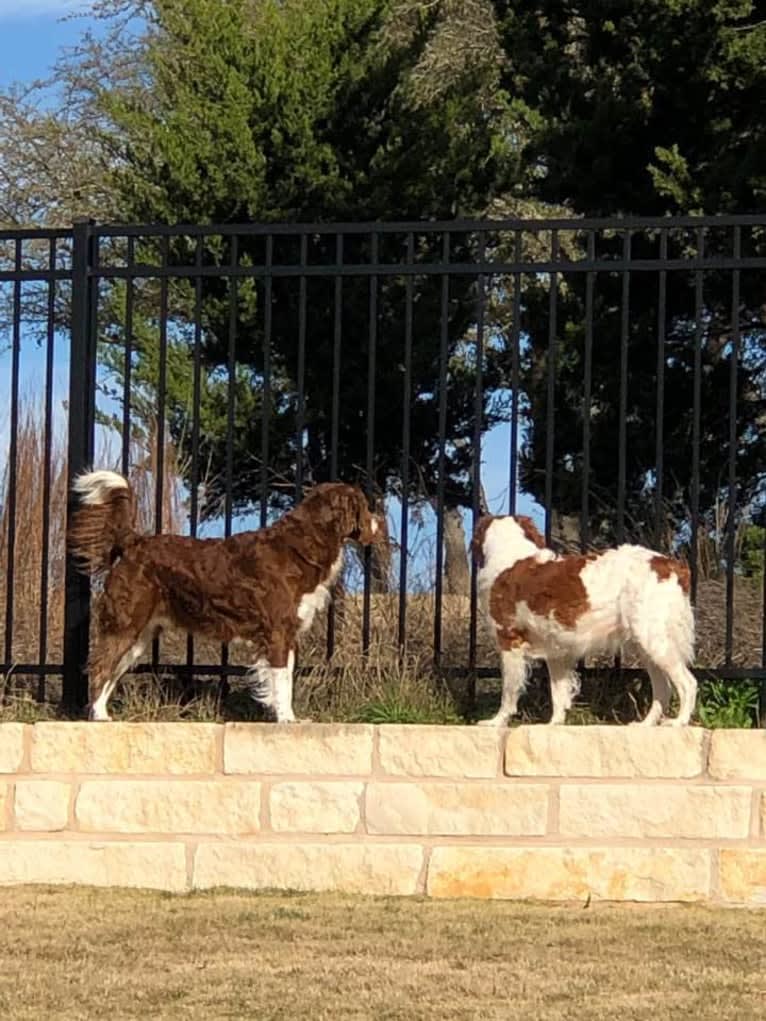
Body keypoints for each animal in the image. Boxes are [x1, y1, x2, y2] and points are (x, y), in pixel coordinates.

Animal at [68, 467, 386, 722]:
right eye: (363, 506)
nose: (379, 525)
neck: (304, 544)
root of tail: (134, 542)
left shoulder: (288, 633)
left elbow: (285, 678)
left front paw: (288, 716)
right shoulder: (277, 632)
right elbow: (282, 680)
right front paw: (286, 720)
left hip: (139, 634)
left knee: (111, 670)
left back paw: (104, 714)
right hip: (125, 624)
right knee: (100, 666)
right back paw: (98, 717)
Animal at [471, 518, 698, 726]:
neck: (510, 555)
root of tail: (673, 566)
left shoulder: (509, 640)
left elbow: (509, 691)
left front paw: (496, 721)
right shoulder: (555, 651)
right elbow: (558, 693)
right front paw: (554, 724)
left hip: (653, 640)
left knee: (688, 683)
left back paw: (679, 721)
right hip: (647, 647)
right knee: (663, 688)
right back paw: (646, 724)